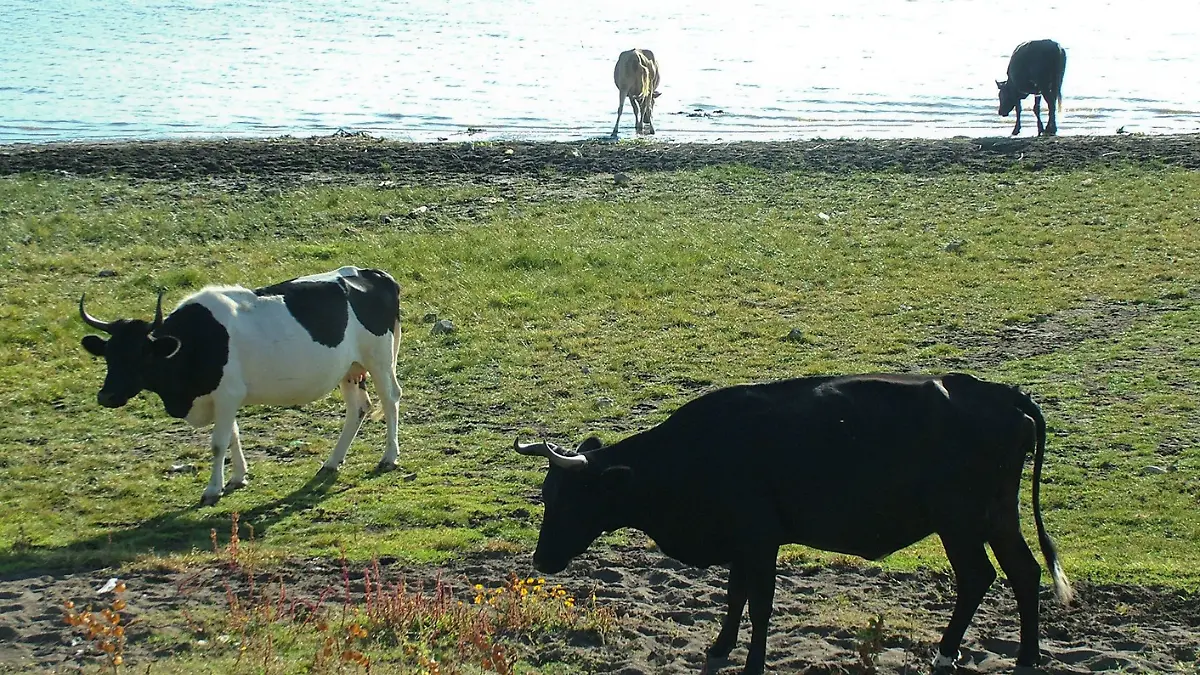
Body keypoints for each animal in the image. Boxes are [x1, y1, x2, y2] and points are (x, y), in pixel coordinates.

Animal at [83, 265, 408, 502]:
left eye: (140, 354)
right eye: (109, 355)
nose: (106, 396)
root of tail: (374, 274)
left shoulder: (227, 394)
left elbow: (218, 443)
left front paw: (213, 489)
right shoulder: (226, 397)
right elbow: (234, 435)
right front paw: (239, 477)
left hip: (379, 359)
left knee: (390, 398)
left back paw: (389, 457)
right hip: (349, 369)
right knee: (358, 409)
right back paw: (332, 460)